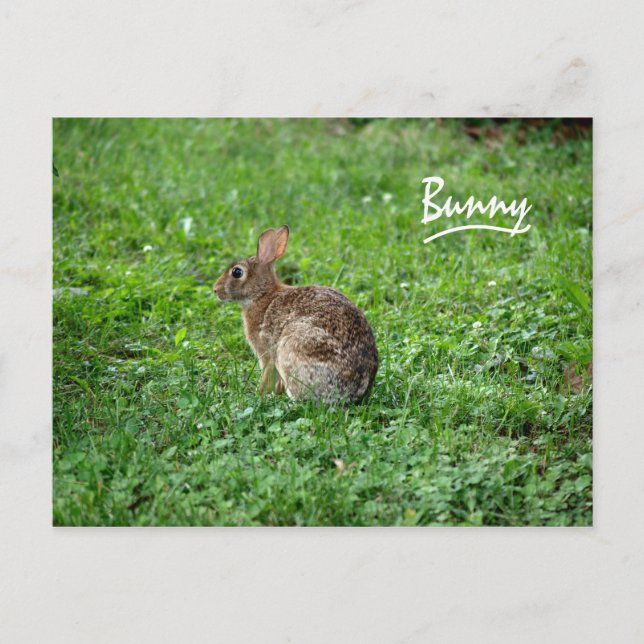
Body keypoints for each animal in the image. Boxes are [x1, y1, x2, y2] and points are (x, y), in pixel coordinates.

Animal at [213, 225, 378, 404]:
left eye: (237, 272)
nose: (215, 289)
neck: (262, 294)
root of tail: (352, 391)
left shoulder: (267, 352)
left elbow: (267, 374)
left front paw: (260, 392)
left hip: (293, 347)